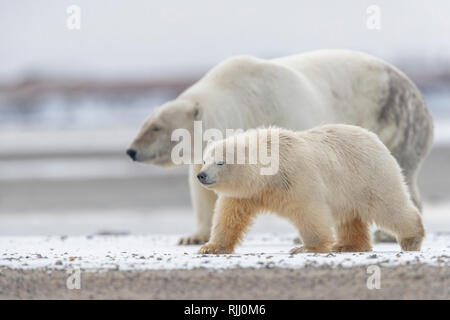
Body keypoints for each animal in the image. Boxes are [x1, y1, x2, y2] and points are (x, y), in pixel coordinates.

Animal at [126, 50, 432, 245]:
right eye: (145, 122)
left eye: (156, 127)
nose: (131, 150)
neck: (244, 102)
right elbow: (204, 193)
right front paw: (193, 236)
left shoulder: (284, 114)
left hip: (396, 122)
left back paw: (389, 233)